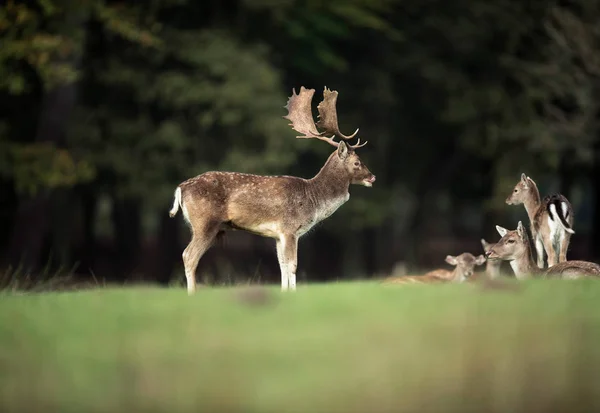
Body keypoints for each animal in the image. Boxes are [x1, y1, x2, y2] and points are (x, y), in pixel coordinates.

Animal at [169, 86, 376, 292]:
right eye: (357, 162)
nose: (372, 177)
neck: (313, 198)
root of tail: (180, 188)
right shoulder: (289, 228)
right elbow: (292, 265)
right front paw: (293, 292)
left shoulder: (277, 235)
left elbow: (282, 265)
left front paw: (285, 292)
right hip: (204, 222)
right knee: (188, 256)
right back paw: (192, 293)